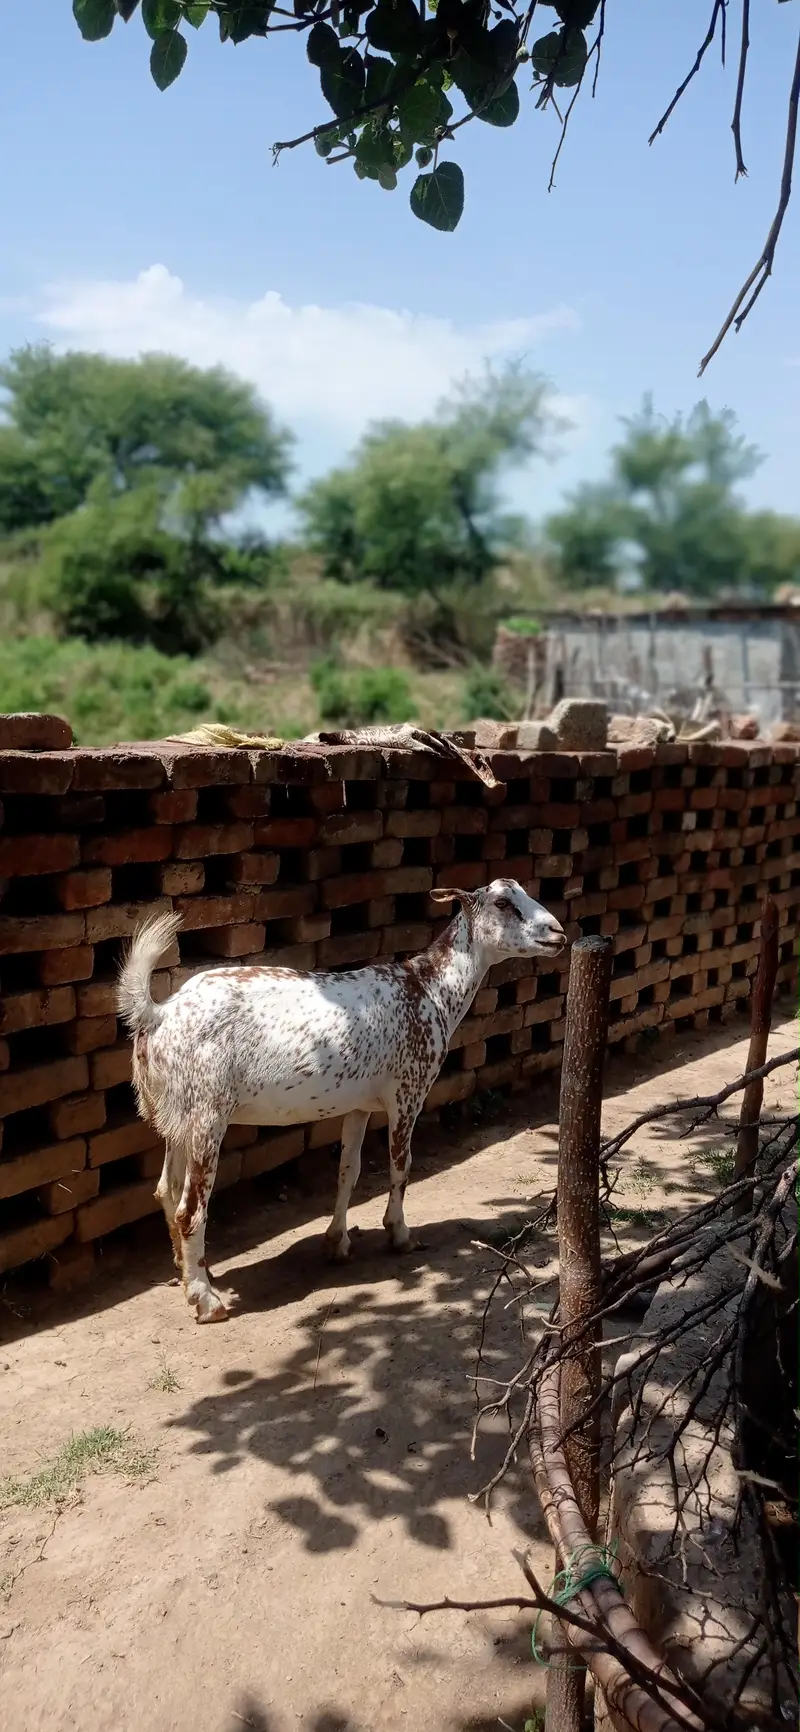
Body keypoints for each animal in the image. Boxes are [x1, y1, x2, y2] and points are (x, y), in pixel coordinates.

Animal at [117, 879, 566, 1323]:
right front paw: (400, 1234)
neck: (429, 989)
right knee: (190, 1208)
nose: (558, 933)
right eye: (503, 902)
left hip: (177, 1115)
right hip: (208, 1113)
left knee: (167, 1189)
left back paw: (189, 1271)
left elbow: (348, 1171)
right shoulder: (409, 1091)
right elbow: (401, 1167)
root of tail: (159, 1013)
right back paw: (206, 1300)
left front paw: (337, 1243)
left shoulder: (359, 1106)